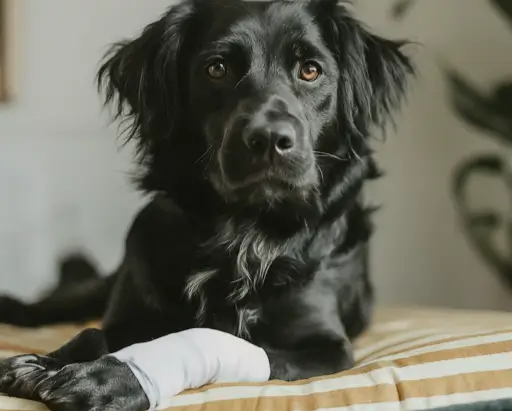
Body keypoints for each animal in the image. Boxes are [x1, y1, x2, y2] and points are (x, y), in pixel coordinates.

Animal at [0, 0, 412, 410]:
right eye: (217, 68)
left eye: (310, 70)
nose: (269, 139)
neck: (243, 231)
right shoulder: (133, 309)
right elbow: (94, 333)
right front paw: (46, 362)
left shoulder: (326, 348)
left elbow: (232, 346)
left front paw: (110, 378)